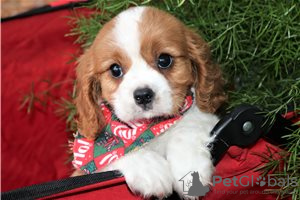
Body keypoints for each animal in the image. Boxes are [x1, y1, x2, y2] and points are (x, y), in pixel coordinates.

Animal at [74, 5, 225, 198]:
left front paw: (190, 167)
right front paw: (150, 169)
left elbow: (188, 126)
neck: (149, 126)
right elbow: (119, 152)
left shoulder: (207, 117)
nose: (143, 95)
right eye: (115, 70)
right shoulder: (84, 170)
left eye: (164, 59)